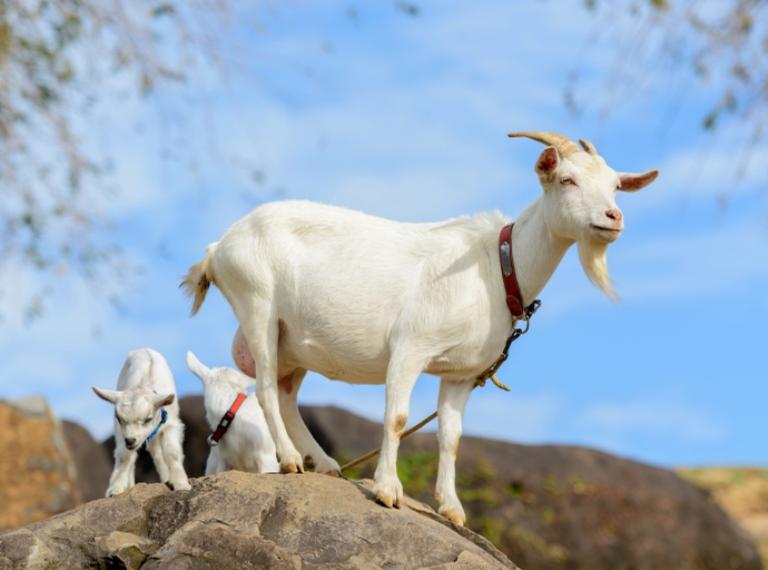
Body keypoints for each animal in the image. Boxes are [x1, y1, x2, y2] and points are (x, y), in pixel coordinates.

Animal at [92, 346, 190, 492]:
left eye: (148, 419)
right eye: (119, 419)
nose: (130, 440)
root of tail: (144, 349)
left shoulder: (171, 423)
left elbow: (172, 452)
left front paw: (181, 483)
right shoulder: (119, 429)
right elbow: (124, 456)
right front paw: (116, 488)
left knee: (157, 454)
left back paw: (167, 478)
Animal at [183, 133, 656, 524]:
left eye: (615, 186)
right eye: (566, 180)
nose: (613, 217)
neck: (496, 266)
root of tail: (218, 247)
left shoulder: (462, 374)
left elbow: (451, 437)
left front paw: (451, 508)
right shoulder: (410, 347)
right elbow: (397, 418)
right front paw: (388, 491)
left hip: (292, 341)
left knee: (285, 395)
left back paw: (326, 465)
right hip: (257, 305)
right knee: (265, 389)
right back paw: (289, 460)